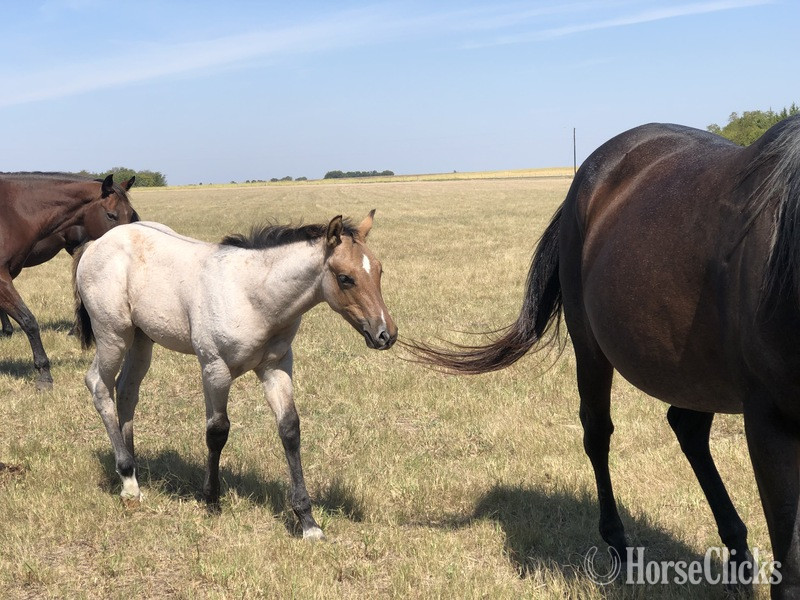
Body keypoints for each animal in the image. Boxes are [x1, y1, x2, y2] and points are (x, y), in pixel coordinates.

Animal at [0, 172, 138, 388]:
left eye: (130, 214)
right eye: (111, 215)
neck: (10, 213)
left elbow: (26, 320)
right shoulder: (3, 278)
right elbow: (28, 321)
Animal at [73, 212, 397, 539]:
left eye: (379, 270)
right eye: (345, 278)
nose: (386, 334)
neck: (253, 296)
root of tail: (96, 243)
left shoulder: (276, 367)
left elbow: (290, 430)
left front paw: (307, 521)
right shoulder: (214, 368)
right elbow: (217, 431)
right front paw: (211, 500)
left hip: (142, 340)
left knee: (127, 392)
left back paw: (135, 471)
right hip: (113, 336)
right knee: (99, 386)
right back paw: (128, 481)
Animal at [407, 116, 800, 598]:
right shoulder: (769, 424)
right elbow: (790, 568)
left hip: (694, 372)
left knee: (686, 428)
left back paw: (738, 557)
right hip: (592, 349)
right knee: (598, 434)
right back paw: (619, 545)